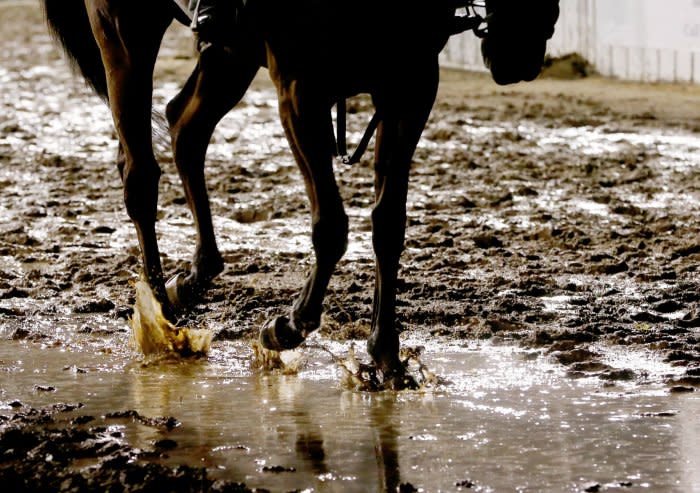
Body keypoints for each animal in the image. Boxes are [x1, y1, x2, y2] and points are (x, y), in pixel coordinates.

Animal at [42, 0, 556, 388]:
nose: (520, 51)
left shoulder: (409, 88)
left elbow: (388, 224)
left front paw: (386, 356)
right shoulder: (300, 89)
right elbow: (331, 226)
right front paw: (285, 328)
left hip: (230, 52)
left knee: (186, 128)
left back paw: (190, 281)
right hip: (124, 30)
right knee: (140, 175)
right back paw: (160, 317)